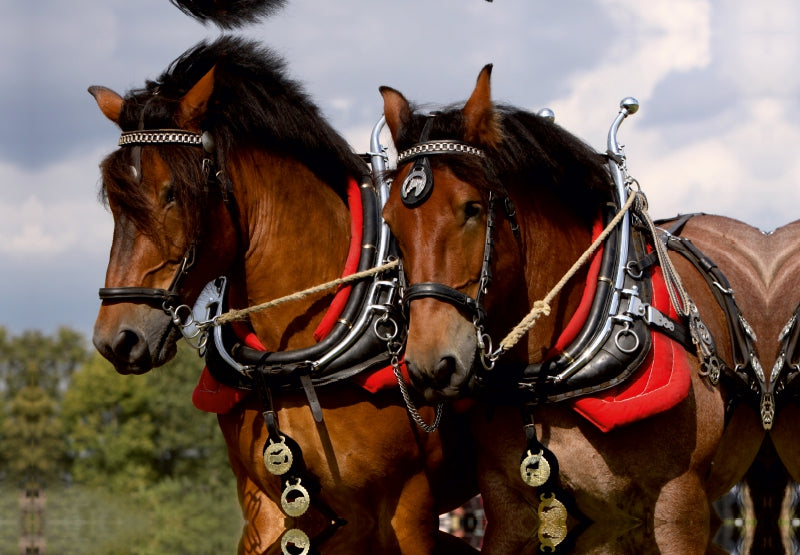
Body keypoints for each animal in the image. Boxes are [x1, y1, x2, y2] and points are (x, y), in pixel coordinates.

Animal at [89, 36, 478, 554]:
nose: (118, 338)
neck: (293, 364)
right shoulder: (272, 507)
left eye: (173, 192)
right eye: (115, 200)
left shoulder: (407, 511)